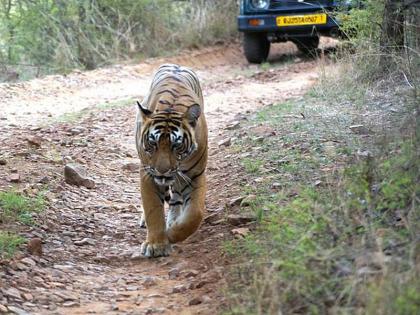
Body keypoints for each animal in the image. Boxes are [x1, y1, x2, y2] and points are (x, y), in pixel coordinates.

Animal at [135, 63, 207, 258]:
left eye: (177, 145)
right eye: (152, 143)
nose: (162, 171)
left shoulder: (195, 175)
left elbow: (195, 214)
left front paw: (172, 234)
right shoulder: (147, 174)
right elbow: (153, 209)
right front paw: (156, 244)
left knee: (175, 199)